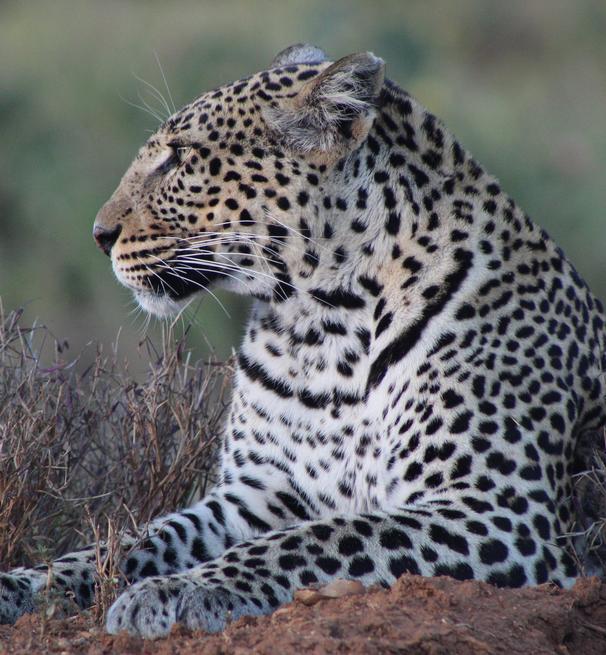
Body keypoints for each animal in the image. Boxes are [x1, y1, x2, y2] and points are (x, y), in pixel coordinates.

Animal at [1, 43, 604, 639]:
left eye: (180, 157)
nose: (98, 235)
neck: (321, 328)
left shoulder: (494, 508)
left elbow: (314, 540)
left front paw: (175, 590)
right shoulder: (254, 495)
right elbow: (131, 540)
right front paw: (24, 584)